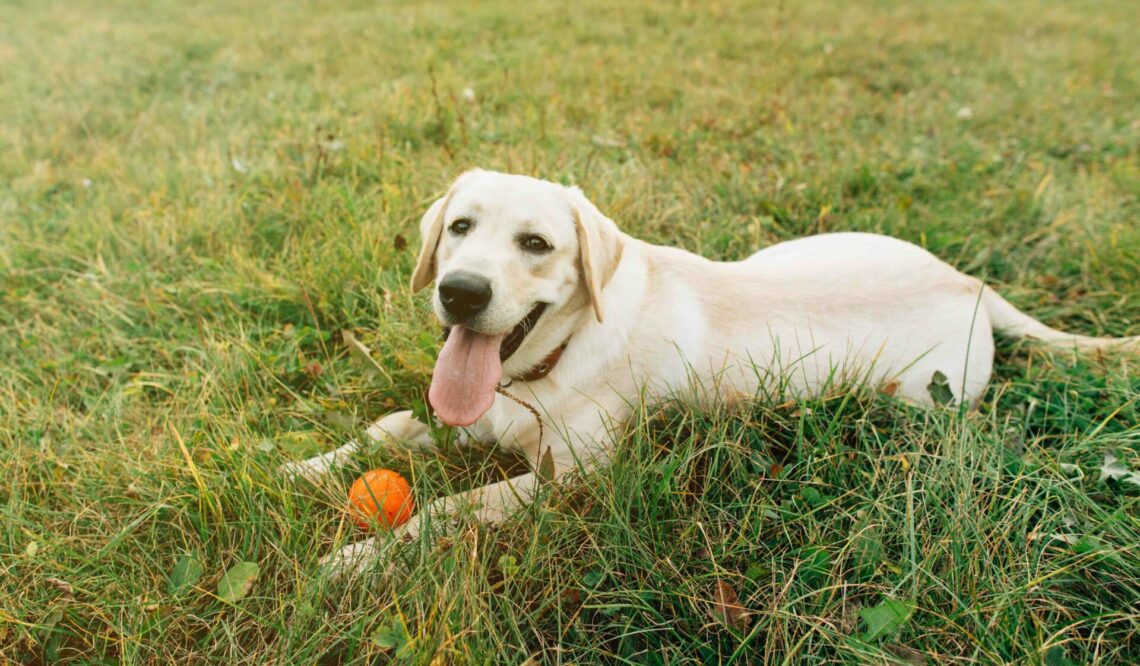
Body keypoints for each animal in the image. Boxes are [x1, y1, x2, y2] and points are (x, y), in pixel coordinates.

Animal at [287, 167, 1140, 572]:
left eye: (536, 245)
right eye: (460, 227)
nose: (461, 292)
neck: (542, 367)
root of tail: (972, 284)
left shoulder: (571, 481)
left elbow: (450, 510)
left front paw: (358, 560)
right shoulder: (463, 416)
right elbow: (391, 425)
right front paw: (297, 465)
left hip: (918, 399)